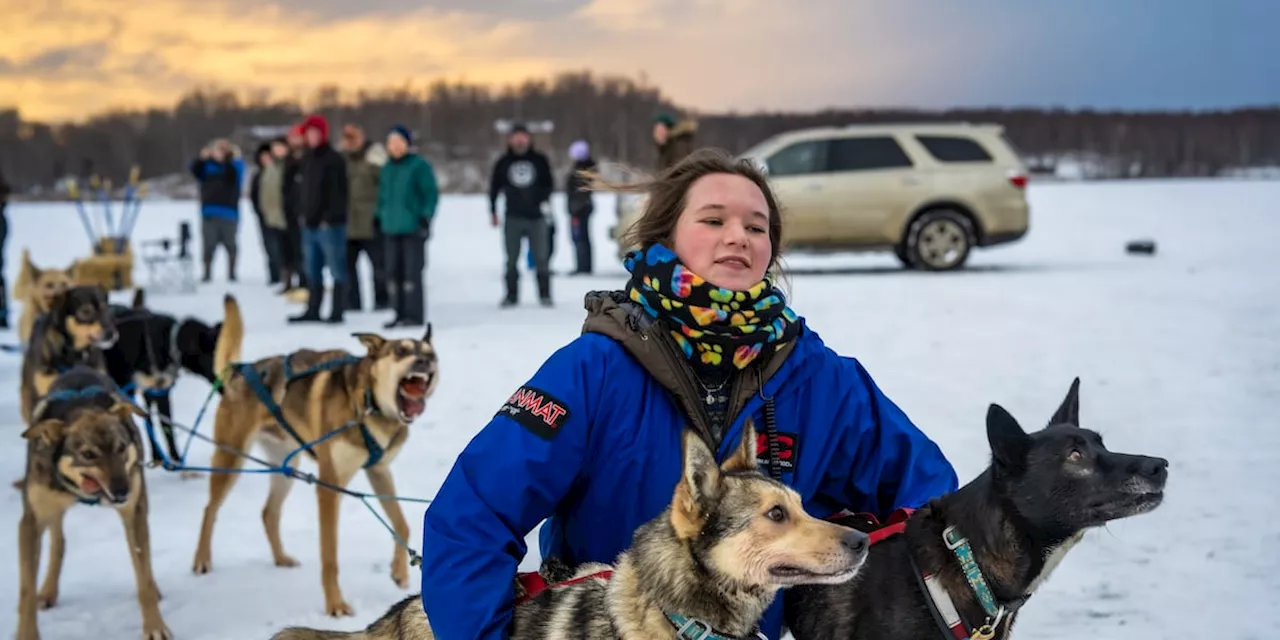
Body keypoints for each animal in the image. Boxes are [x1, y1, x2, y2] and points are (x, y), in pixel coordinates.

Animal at [16, 366, 170, 640]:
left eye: (121, 448)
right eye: (88, 454)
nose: (122, 491)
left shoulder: (134, 512)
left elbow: (142, 575)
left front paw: (155, 626)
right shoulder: (31, 522)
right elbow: (27, 592)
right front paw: (25, 633)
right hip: (51, 510)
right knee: (59, 542)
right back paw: (48, 590)